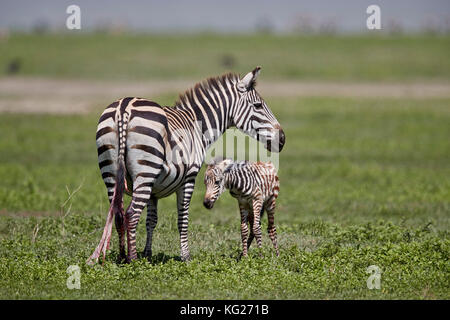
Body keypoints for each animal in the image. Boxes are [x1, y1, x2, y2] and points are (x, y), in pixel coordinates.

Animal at [87, 66, 284, 264]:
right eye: (258, 105)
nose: (282, 139)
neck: (198, 126)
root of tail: (124, 108)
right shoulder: (189, 178)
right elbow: (183, 218)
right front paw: (186, 257)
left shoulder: (154, 190)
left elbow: (151, 220)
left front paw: (148, 254)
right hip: (145, 172)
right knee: (131, 214)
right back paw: (133, 260)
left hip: (111, 172)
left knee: (118, 213)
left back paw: (122, 257)